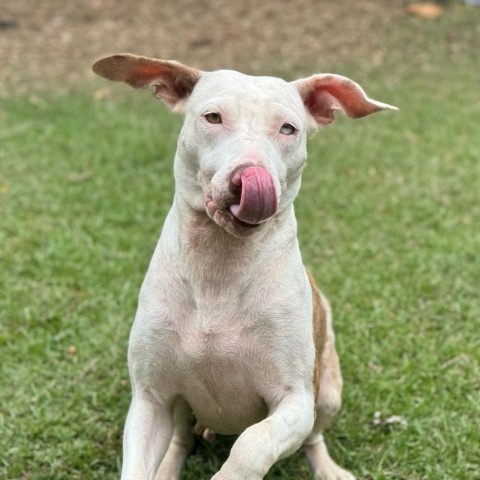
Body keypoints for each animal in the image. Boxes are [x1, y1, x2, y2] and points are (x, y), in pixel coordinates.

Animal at [92, 53, 396, 480]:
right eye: (213, 117)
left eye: (288, 128)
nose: (248, 178)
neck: (220, 264)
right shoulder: (150, 400)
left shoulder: (295, 401)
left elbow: (252, 445)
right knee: (180, 437)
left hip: (328, 395)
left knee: (314, 438)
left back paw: (327, 468)